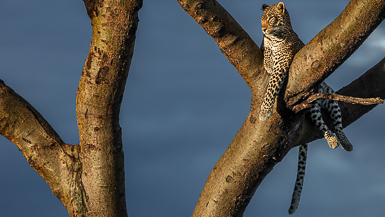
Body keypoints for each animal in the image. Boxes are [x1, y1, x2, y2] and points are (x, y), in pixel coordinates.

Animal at [260, 2, 352, 214]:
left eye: (271, 19)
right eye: (261, 19)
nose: (263, 29)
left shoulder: (283, 64)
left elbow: (271, 88)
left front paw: (264, 112)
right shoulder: (268, 50)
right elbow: (266, 55)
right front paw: (266, 58)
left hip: (327, 98)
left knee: (335, 125)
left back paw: (341, 142)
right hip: (315, 105)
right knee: (324, 124)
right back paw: (336, 141)